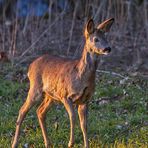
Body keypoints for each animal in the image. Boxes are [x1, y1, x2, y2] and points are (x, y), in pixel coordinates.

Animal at [11, 18, 114, 148]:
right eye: (96, 39)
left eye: (106, 37)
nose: (108, 48)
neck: (81, 76)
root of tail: (30, 66)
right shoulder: (65, 95)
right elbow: (72, 117)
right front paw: (71, 143)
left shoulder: (85, 99)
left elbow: (84, 124)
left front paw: (86, 145)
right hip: (36, 89)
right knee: (22, 110)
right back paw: (15, 143)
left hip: (51, 96)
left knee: (40, 111)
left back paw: (48, 143)